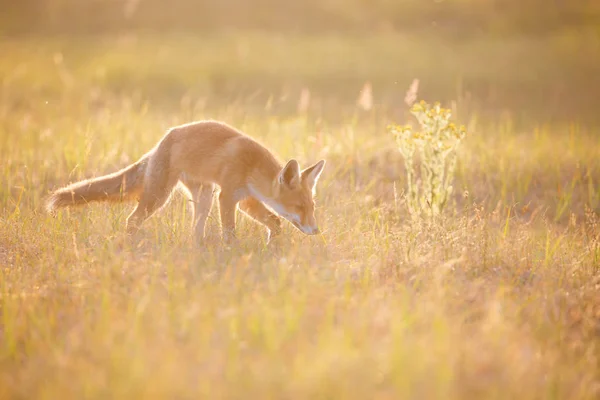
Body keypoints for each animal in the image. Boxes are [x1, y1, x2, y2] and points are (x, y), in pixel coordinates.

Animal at [45, 119, 328, 244]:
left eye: (312, 208)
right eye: (299, 207)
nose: (316, 231)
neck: (251, 166)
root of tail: (160, 143)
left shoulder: (246, 198)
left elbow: (275, 222)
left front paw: (273, 247)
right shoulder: (227, 196)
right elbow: (230, 232)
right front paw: (231, 252)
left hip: (203, 197)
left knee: (195, 230)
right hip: (159, 196)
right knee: (132, 220)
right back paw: (131, 245)